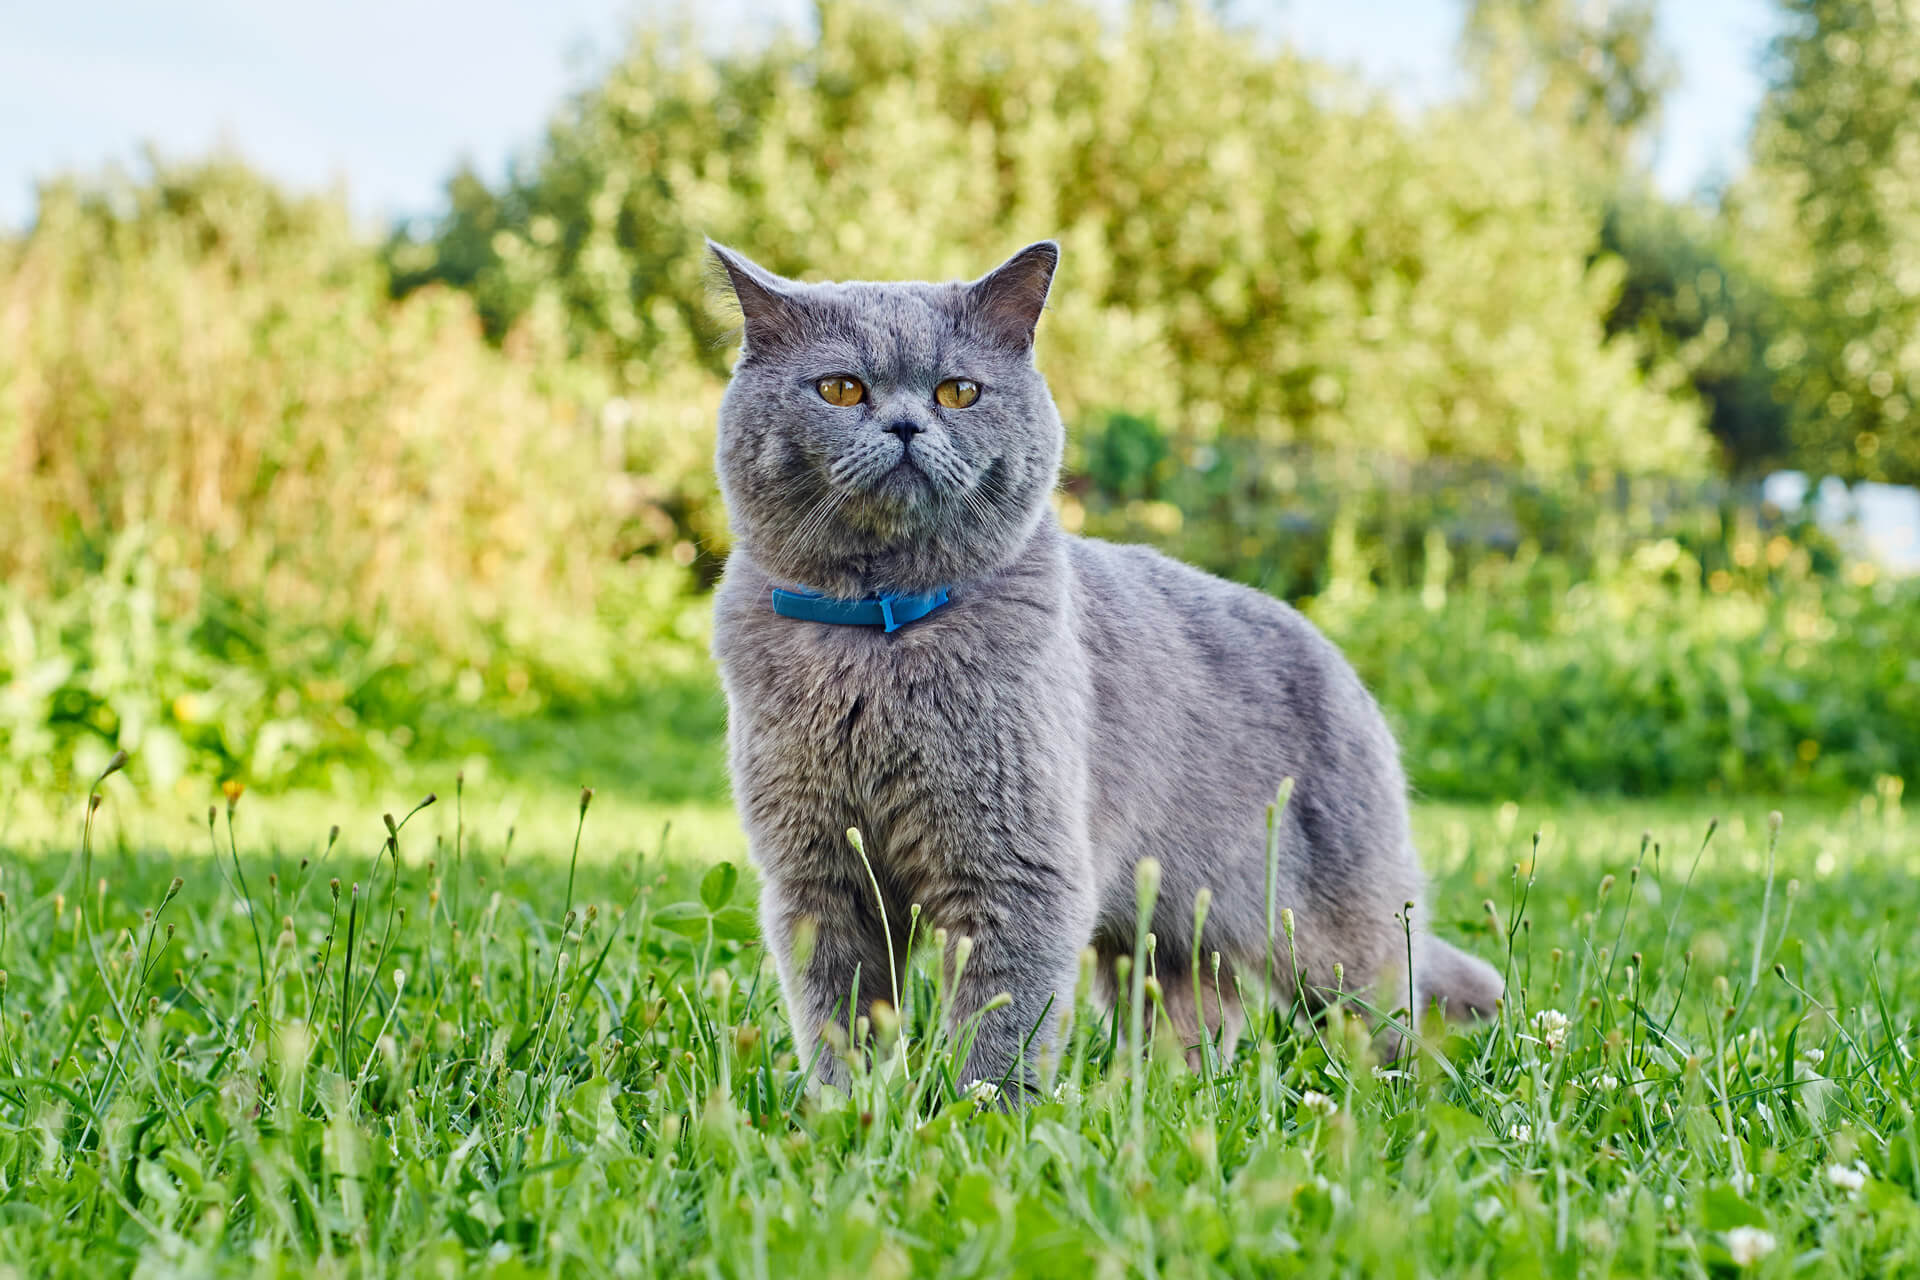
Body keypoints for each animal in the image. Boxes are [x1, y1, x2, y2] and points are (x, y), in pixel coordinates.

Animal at [706, 235, 1497, 1097]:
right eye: (841, 388)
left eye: (960, 391)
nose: (909, 424)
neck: (878, 636)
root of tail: (1342, 664)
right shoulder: (817, 877)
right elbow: (840, 1018)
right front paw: (845, 1108)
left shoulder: (1019, 868)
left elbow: (1000, 1025)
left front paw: (981, 1112)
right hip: (1169, 931)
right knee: (1197, 1013)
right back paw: (1165, 1092)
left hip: (1332, 935)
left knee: (1393, 1006)